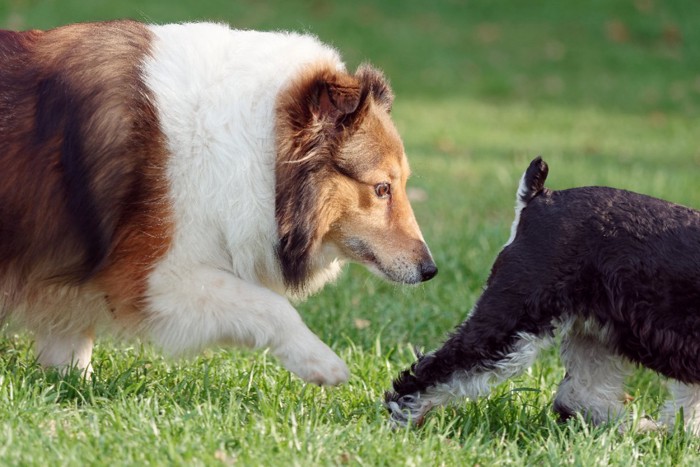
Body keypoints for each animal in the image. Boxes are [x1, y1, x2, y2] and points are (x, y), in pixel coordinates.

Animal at [0, 20, 434, 386]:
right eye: (382, 188)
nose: (429, 269)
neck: (257, 147)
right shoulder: (153, 278)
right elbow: (272, 307)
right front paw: (322, 363)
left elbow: (69, 344)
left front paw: (75, 388)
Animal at [386, 158, 700, 436]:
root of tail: (539, 198)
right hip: (512, 322)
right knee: (431, 372)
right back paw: (403, 423)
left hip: (595, 333)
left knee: (577, 396)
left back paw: (639, 429)